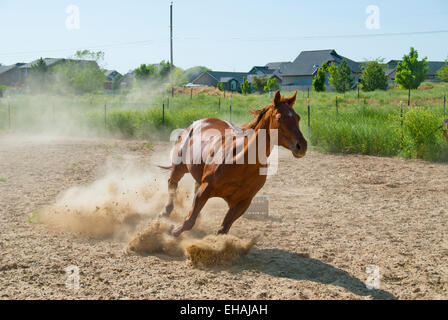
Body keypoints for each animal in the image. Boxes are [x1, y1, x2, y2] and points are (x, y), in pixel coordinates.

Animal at [158, 91, 308, 236]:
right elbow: (190, 221)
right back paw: (165, 211)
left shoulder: (243, 202)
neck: (242, 162)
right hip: (179, 167)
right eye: (279, 118)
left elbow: (223, 230)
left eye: (298, 118)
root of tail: (196, 123)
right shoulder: (206, 188)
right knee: (172, 184)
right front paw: (174, 230)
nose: (302, 146)